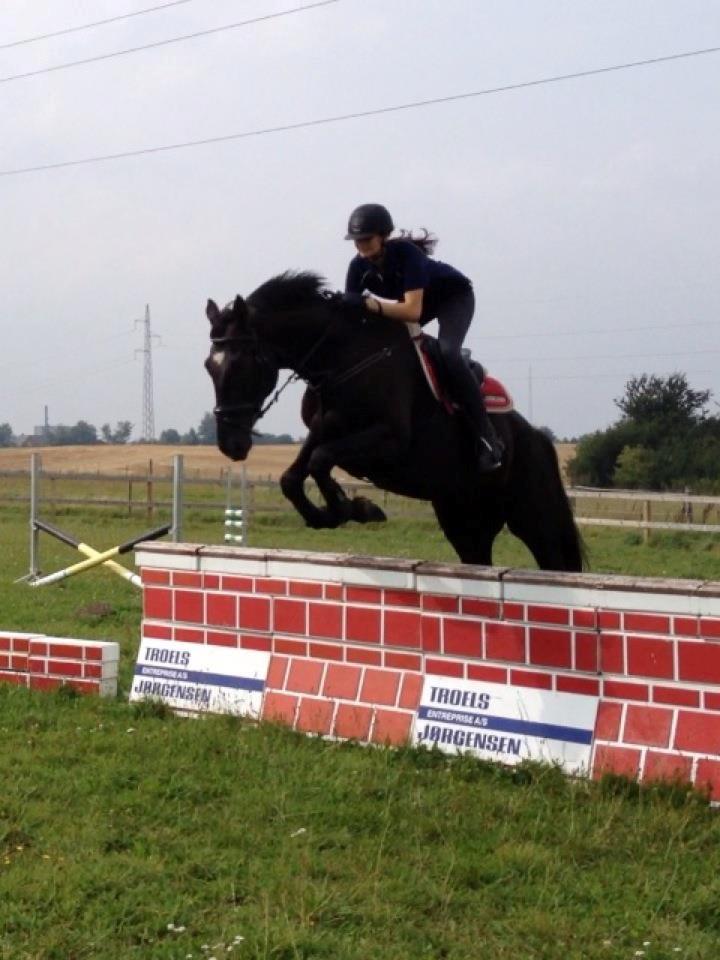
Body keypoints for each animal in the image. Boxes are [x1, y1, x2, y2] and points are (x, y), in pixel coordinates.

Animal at [204, 270, 584, 568]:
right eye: (210, 366)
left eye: (242, 363)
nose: (231, 444)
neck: (341, 356)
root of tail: (538, 438)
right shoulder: (323, 429)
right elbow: (293, 476)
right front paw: (334, 513)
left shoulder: (389, 442)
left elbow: (320, 460)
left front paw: (358, 508)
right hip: (464, 517)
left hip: (533, 517)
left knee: (555, 560)